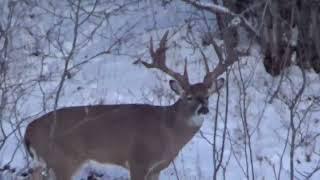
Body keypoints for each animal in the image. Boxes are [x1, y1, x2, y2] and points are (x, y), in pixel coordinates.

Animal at [23, 31, 231, 180]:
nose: (204, 109)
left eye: (207, 96)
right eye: (188, 97)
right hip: (63, 161)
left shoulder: (157, 168)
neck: (168, 130)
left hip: (44, 163)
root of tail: (29, 130)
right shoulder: (138, 161)